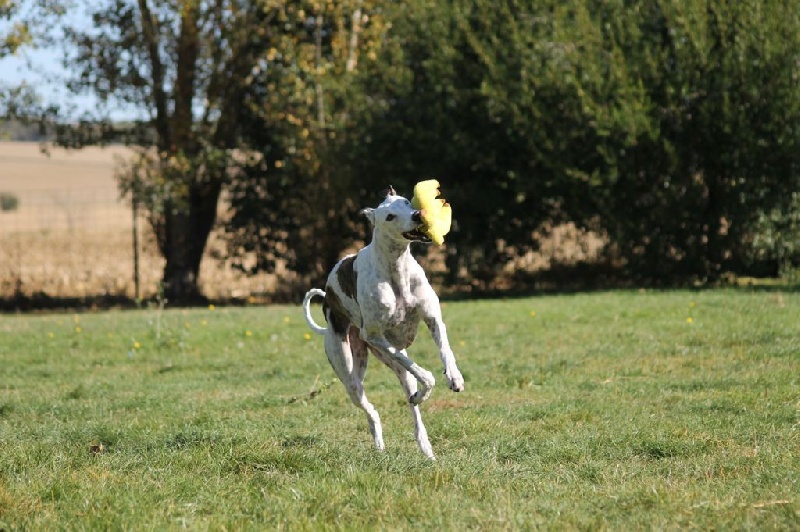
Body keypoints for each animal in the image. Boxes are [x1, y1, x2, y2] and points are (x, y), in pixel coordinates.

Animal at [302, 186, 465, 459]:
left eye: (406, 202)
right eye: (389, 216)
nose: (418, 215)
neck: (397, 267)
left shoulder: (432, 317)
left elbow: (445, 351)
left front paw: (455, 378)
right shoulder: (374, 335)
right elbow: (427, 375)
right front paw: (431, 384)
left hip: (392, 363)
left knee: (410, 395)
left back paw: (425, 444)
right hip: (351, 372)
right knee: (371, 409)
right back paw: (380, 444)